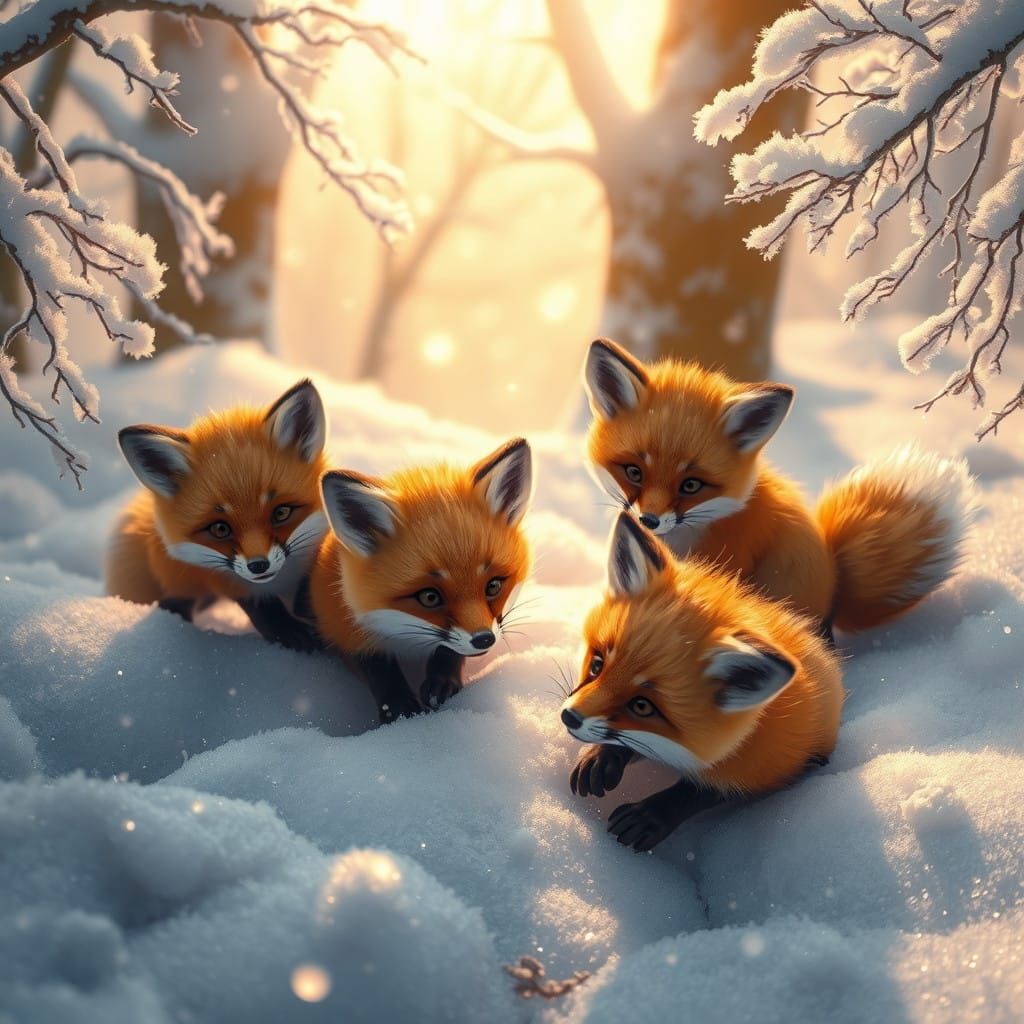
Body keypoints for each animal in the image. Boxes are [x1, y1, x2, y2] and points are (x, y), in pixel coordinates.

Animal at [105, 379, 329, 650]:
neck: (280, 580)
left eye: (281, 512)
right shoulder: (228, 580)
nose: (258, 566)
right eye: (220, 529)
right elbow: (266, 611)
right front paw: (293, 634)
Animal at [308, 438, 533, 723]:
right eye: (429, 597)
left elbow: (447, 651)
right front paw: (399, 709)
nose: (484, 639)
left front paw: (442, 682)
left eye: (493, 586)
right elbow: (379, 668)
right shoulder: (344, 626)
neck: (406, 637)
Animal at [561, 513, 844, 851]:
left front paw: (650, 815)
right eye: (597, 664)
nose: (569, 717)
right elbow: (629, 743)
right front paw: (601, 757)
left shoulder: (756, 764)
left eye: (642, 706)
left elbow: (695, 793)